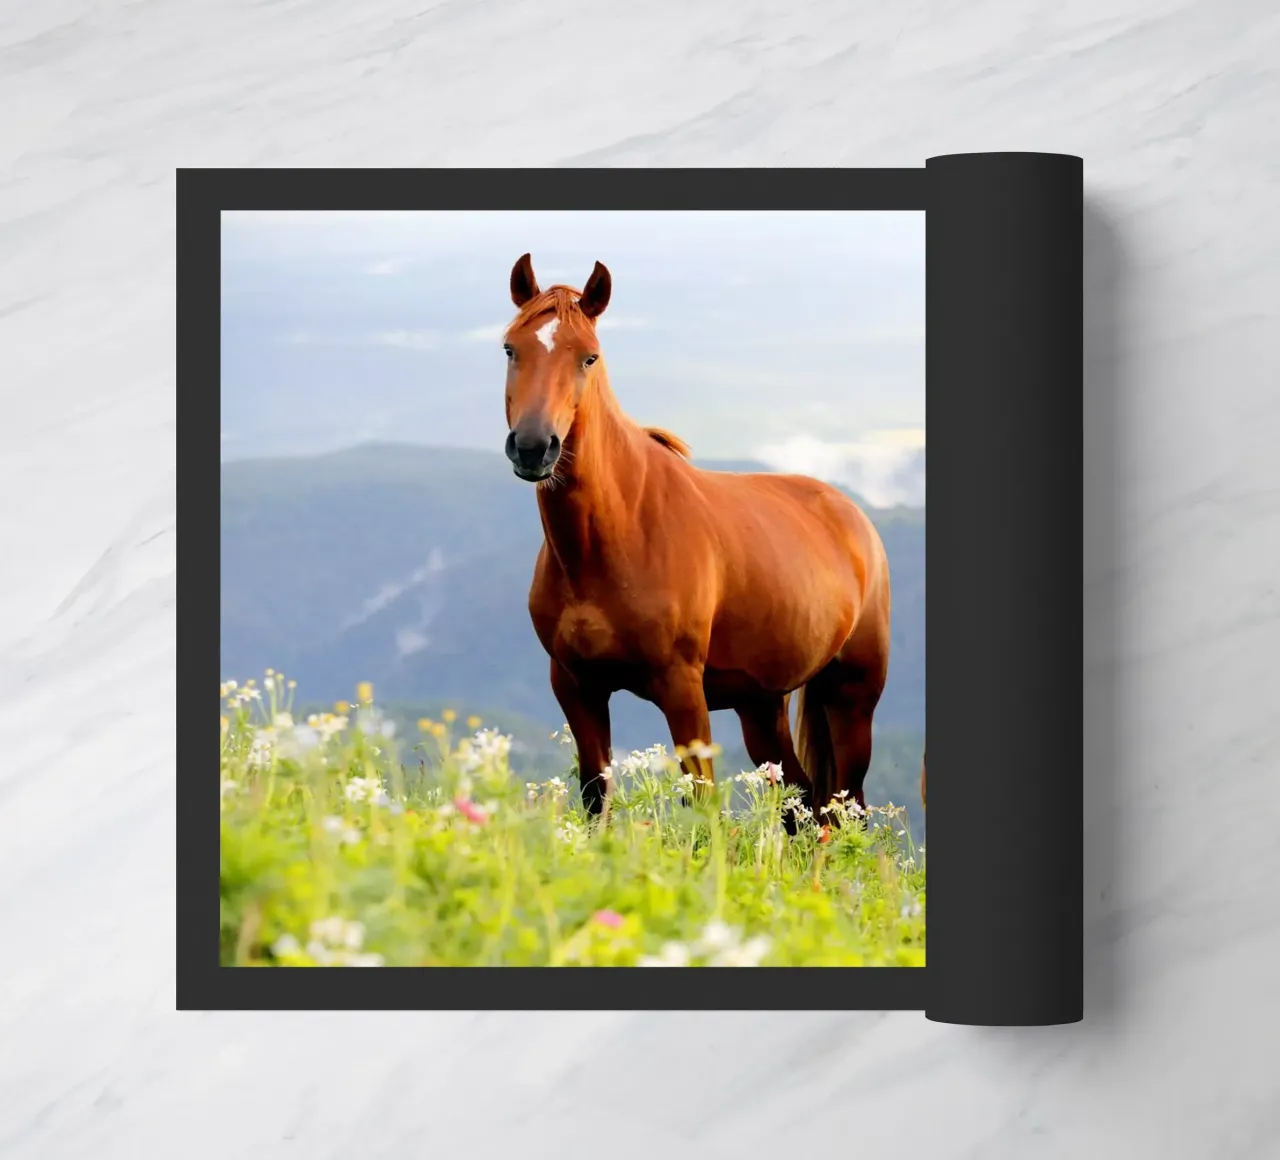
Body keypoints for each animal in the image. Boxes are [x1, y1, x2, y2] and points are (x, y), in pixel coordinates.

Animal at [499, 253, 892, 826]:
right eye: (511, 348)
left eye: (589, 358)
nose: (533, 448)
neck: (615, 537)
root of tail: (853, 518)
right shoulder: (575, 685)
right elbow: (596, 796)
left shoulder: (682, 688)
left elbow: (703, 803)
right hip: (761, 704)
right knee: (800, 801)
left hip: (852, 697)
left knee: (846, 808)